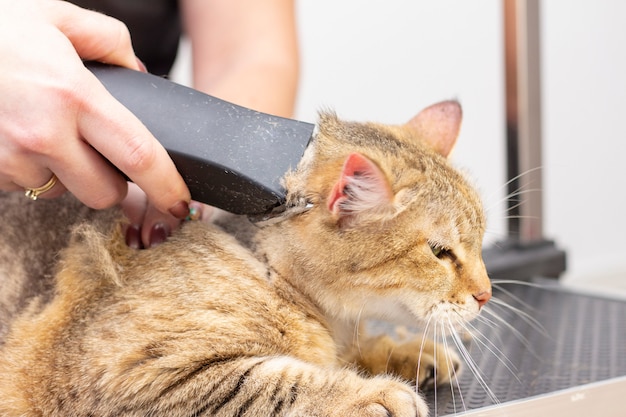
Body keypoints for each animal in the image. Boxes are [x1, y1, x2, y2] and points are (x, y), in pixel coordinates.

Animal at [0, 99, 488, 414]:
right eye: (441, 253)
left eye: (481, 241)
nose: (485, 295)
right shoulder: (141, 376)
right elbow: (273, 383)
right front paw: (370, 394)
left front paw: (405, 353)